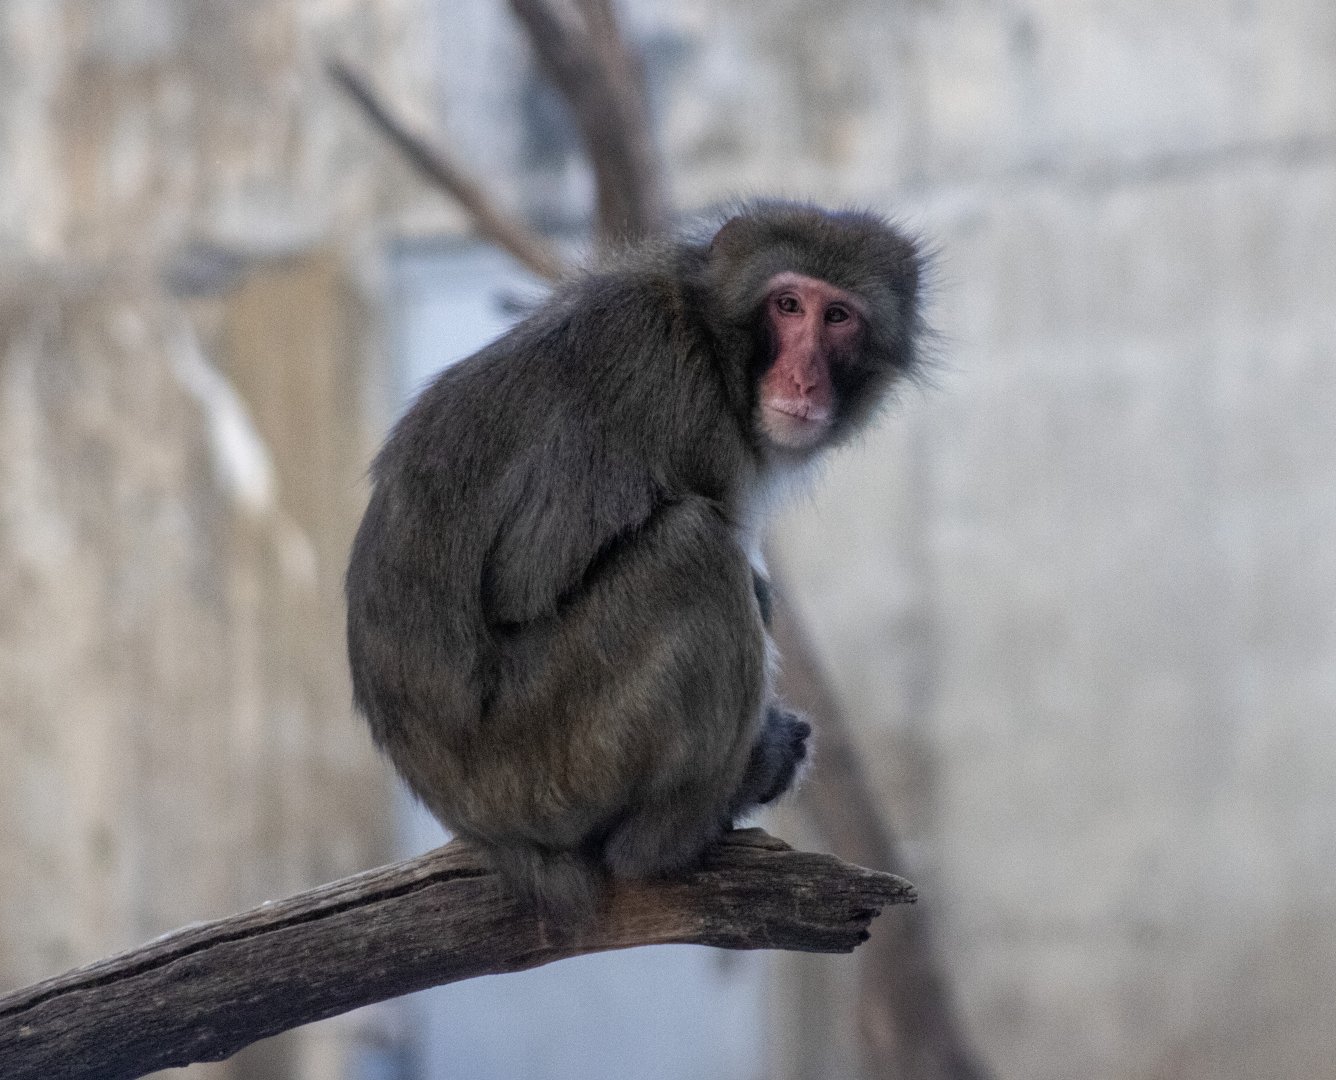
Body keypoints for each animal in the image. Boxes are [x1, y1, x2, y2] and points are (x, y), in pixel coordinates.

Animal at [345, 200, 924, 922]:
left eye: (838, 316)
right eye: (789, 305)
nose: (803, 377)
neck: (712, 342)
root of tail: (480, 827)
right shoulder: (689, 411)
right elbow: (530, 580)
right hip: (548, 766)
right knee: (694, 551)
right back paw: (677, 834)